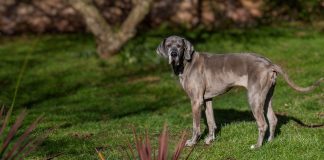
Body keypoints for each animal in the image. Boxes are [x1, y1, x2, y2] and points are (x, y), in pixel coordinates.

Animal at [156, 35, 322, 149]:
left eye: (180, 45)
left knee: (263, 124)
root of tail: (269, 64)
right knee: (273, 119)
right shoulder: (207, 99)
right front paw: (210, 139)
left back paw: (257, 146)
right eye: (169, 45)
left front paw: (191, 142)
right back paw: (269, 142)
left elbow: (195, 126)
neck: (186, 63)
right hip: (266, 97)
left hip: (254, 98)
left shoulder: (196, 101)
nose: (173, 53)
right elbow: (211, 121)